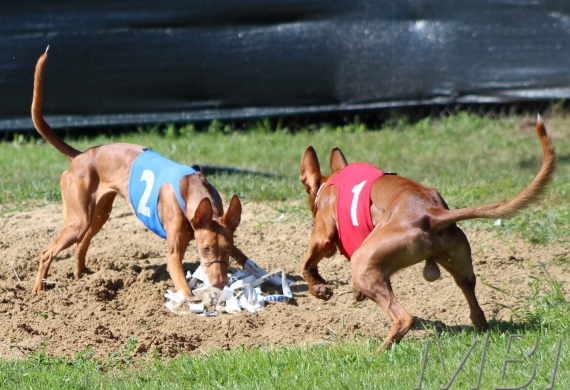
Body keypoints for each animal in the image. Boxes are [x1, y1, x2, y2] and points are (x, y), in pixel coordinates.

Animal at [28, 50, 246, 298]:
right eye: (205, 249)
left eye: (227, 248)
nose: (219, 283)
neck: (190, 189)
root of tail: (81, 155)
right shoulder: (173, 257)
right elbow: (185, 290)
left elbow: (245, 258)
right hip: (78, 221)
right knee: (47, 252)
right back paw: (38, 289)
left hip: (97, 216)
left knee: (81, 245)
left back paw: (83, 278)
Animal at [300, 117, 552, 348]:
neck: (331, 180)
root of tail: (432, 213)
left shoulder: (323, 235)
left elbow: (307, 263)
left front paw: (318, 287)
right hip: (459, 263)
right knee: (473, 302)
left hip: (363, 262)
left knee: (403, 318)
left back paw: (379, 350)